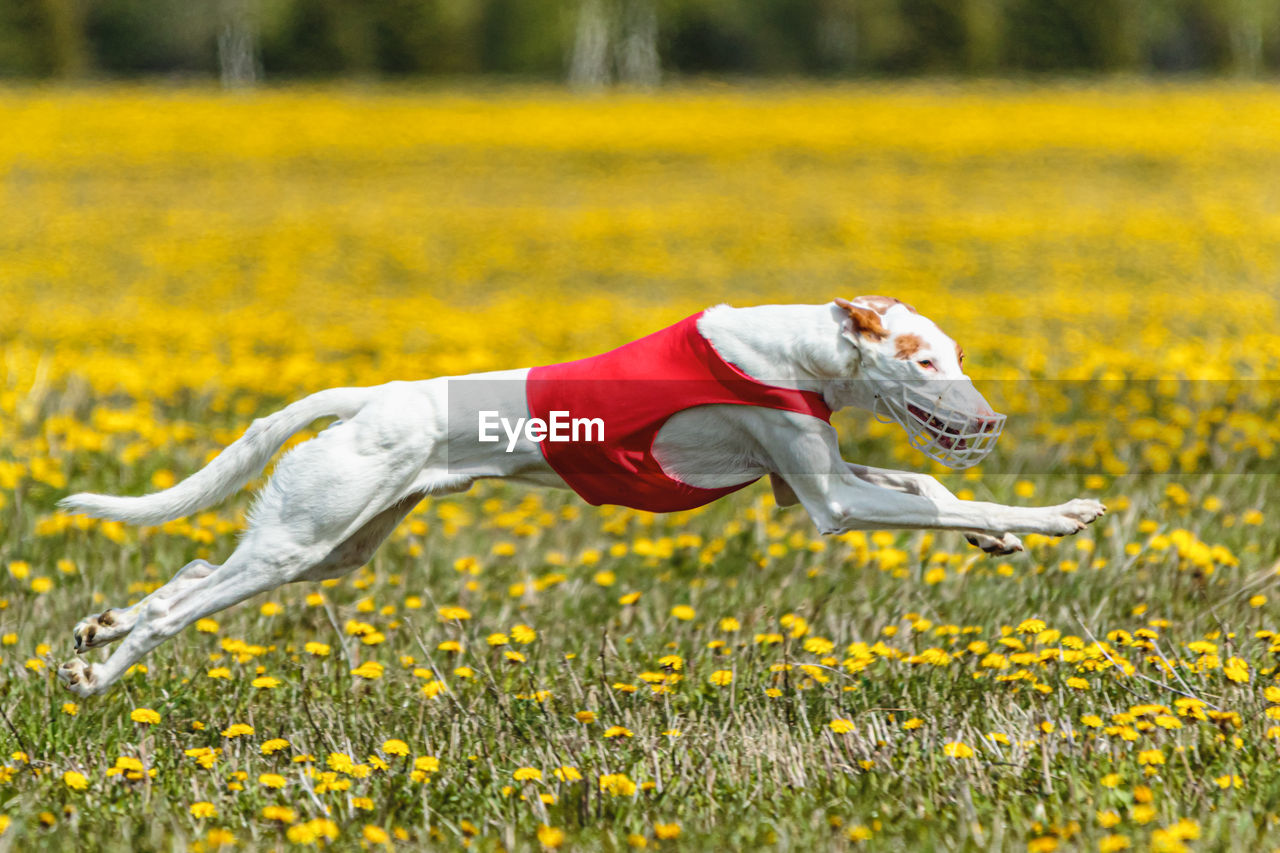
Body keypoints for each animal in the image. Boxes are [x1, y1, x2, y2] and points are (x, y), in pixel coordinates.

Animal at [57, 295, 1100, 696]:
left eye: (955, 355)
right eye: (923, 362)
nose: (988, 416)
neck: (799, 348)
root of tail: (373, 395)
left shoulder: (806, 482)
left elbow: (924, 480)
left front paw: (1000, 545)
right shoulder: (829, 497)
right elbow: (953, 497)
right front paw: (1053, 518)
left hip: (338, 543)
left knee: (199, 562)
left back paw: (101, 628)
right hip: (306, 536)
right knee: (189, 602)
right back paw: (101, 673)